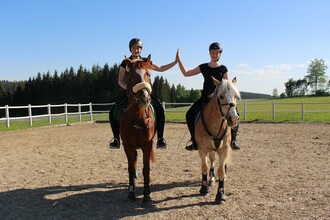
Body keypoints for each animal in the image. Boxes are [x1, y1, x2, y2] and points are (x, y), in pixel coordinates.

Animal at [119, 54, 157, 203]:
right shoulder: (128, 146)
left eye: (148, 74)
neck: (138, 118)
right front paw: (131, 192)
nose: (144, 98)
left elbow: (146, 168)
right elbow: (130, 168)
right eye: (130, 77)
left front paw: (146, 194)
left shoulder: (148, 145)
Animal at [196, 76, 240, 204]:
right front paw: (204, 188)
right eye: (221, 97)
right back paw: (211, 179)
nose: (234, 119)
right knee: (211, 161)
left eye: (236, 96)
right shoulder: (202, 149)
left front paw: (220, 194)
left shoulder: (224, 149)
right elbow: (205, 167)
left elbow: (221, 170)